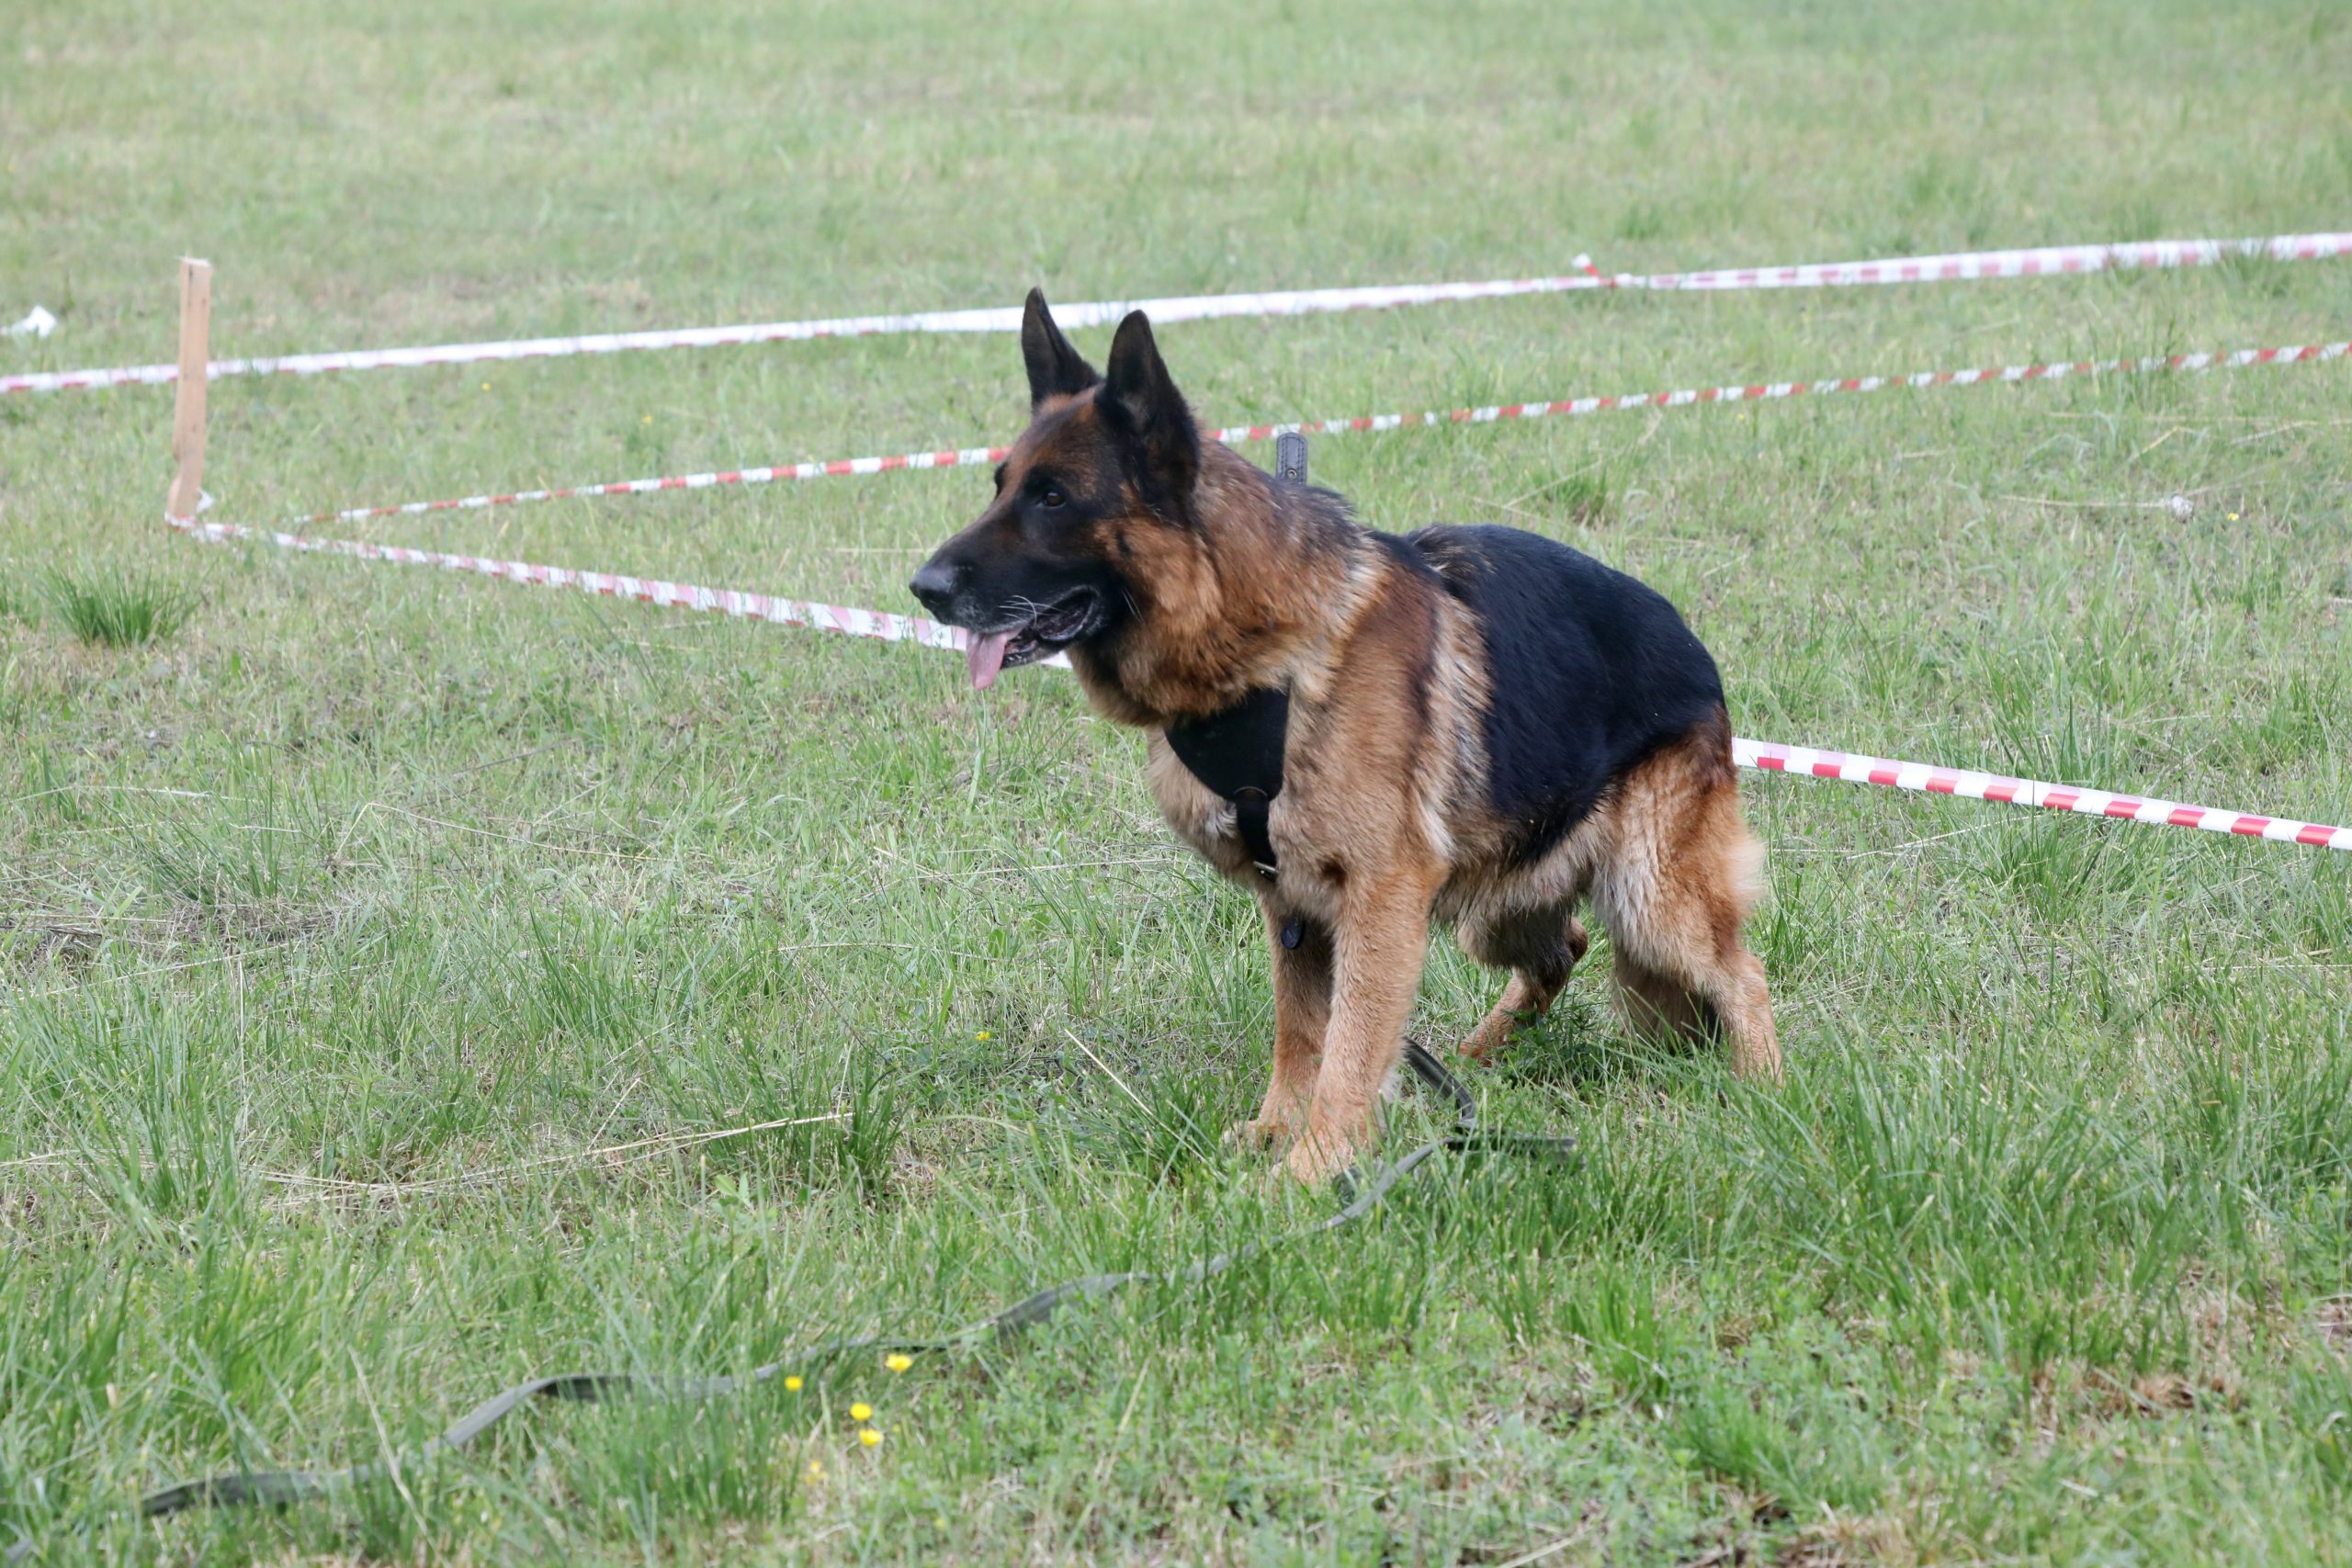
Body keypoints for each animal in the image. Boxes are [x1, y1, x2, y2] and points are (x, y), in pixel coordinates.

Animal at [908, 293, 1769, 1184]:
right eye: (1001, 486)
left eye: (1053, 498)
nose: (922, 588)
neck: (1264, 648)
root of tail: (1695, 650)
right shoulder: (1294, 903)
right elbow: (1302, 1029)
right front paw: (1275, 1131)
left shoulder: (1379, 896)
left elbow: (1352, 1042)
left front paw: (1313, 1168)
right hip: (1497, 904)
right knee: (1563, 944)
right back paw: (1480, 1059)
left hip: (1649, 895)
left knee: (1741, 974)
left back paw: (1761, 1088)